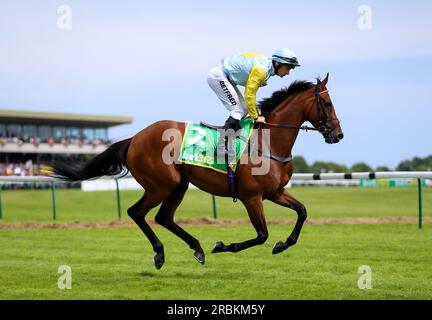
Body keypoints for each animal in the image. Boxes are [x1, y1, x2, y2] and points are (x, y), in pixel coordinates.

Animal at [51, 73, 340, 270]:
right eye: (326, 103)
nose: (338, 134)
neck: (267, 142)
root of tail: (134, 138)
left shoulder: (275, 192)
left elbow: (302, 212)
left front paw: (282, 244)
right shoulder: (252, 197)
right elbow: (261, 235)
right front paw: (223, 246)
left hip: (179, 184)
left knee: (163, 217)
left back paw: (196, 248)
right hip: (161, 184)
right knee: (137, 212)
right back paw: (160, 253)